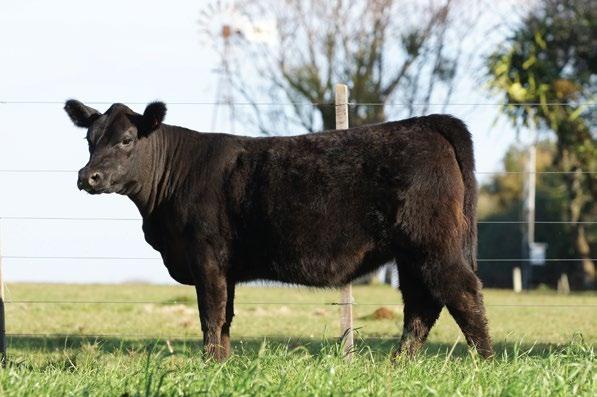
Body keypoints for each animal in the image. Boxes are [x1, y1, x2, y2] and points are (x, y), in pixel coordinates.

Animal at [66, 100, 494, 358]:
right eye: (89, 139)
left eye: (126, 140)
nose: (88, 176)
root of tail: (426, 123)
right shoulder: (226, 269)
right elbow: (226, 317)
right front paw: (222, 364)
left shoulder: (206, 258)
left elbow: (210, 315)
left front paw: (207, 362)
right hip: (410, 253)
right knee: (421, 304)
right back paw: (399, 363)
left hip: (433, 243)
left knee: (462, 292)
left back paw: (484, 363)